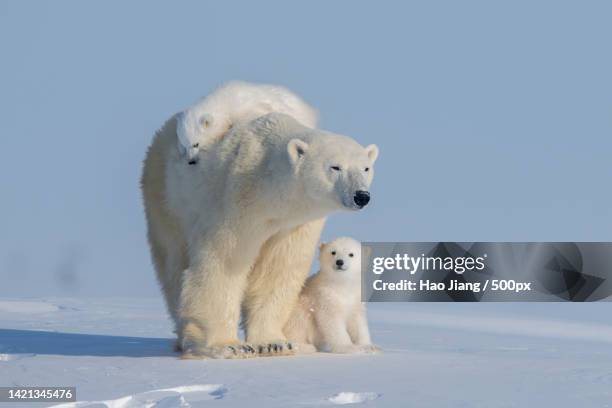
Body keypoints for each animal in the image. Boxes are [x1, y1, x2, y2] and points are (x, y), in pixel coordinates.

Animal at [141, 111, 378, 356]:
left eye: (366, 168)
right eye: (335, 167)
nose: (361, 196)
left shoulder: (293, 225)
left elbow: (278, 268)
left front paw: (273, 343)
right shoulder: (236, 201)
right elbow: (224, 262)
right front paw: (226, 345)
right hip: (167, 197)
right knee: (173, 263)